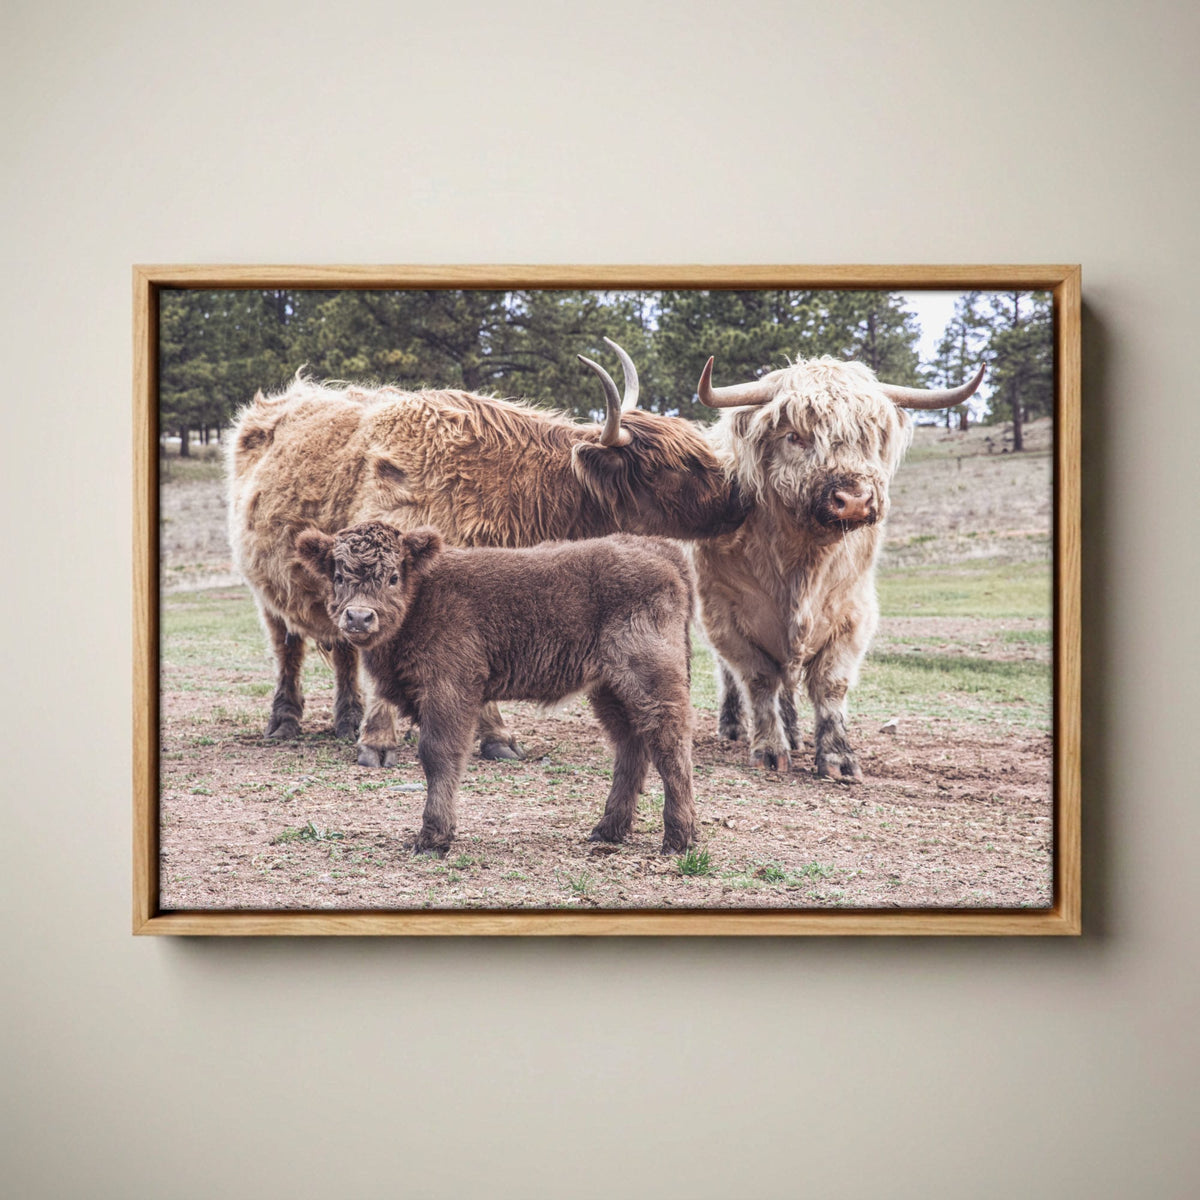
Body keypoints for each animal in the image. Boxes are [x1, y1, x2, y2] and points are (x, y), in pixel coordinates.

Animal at [226, 340, 747, 767]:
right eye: (672, 466)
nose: (739, 498)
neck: (503, 486)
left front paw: (493, 737)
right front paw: (378, 743)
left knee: (342, 653)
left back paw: (347, 719)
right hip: (270, 588)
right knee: (288, 647)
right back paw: (286, 721)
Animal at [295, 522, 698, 854]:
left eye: (393, 577)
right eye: (338, 574)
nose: (359, 617)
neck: (423, 596)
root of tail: (656, 547)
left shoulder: (449, 689)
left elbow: (438, 754)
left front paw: (433, 838)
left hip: (651, 680)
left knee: (669, 745)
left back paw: (678, 838)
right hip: (609, 689)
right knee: (631, 746)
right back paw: (608, 830)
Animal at [690, 355, 984, 781]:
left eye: (869, 436)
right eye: (795, 436)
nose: (855, 499)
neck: (802, 565)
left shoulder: (852, 615)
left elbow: (830, 685)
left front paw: (838, 758)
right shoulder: (725, 614)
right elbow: (758, 680)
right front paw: (769, 750)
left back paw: (795, 734)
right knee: (735, 675)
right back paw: (734, 727)